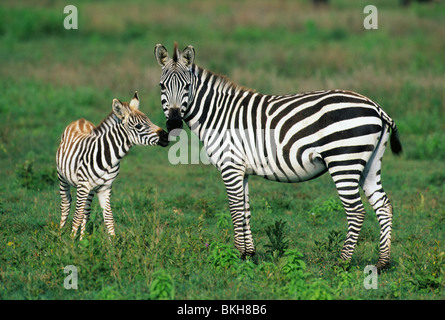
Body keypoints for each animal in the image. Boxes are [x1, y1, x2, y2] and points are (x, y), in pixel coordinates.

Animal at [55, 91, 166, 239]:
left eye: (150, 121)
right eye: (138, 126)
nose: (166, 136)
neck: (109, 158)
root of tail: (81, 120)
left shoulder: (105, 187)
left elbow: (108, 218)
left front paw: (112, 243)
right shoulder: (83, 185)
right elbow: (77, 216)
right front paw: (71, 243)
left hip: (91, 189)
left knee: (86, 211)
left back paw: (82, 238)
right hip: (63, 178)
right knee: (66, 204)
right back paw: (60, 234)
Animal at [153, 42, 402, 270]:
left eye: (187, 86)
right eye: (162, 86)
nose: (173, 123)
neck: (218, 113)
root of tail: (376, 107)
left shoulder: (230, 166)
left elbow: (235, 209)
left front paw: (237, 256)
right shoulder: (242, 170)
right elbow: (245, 210)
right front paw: (249, 254)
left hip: (344, 161)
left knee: (356, 211)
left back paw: (342, 262)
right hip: (369, 163)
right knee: (383, 206)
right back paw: (383, 262)